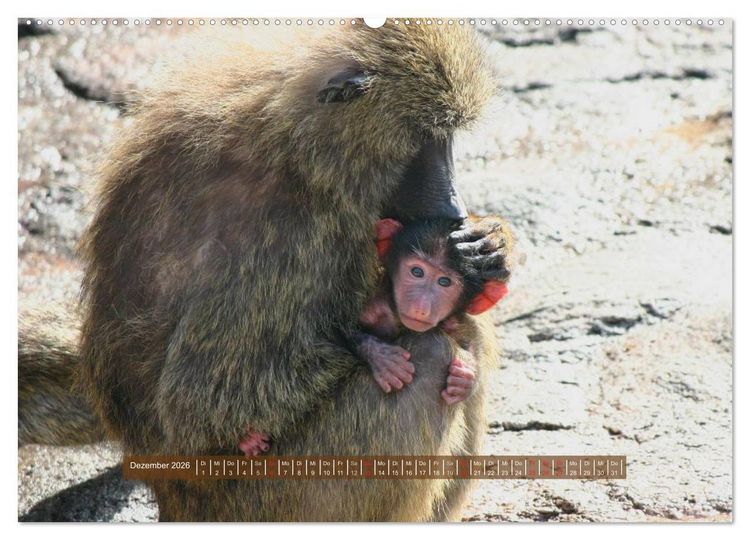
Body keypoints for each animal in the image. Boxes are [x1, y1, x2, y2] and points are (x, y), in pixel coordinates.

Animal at [19, 21, 514, 521]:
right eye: (428, 139)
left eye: (447, 137)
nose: (455, 210)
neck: (300, 147)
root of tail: (171, 497)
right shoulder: (279, 231)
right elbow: (206, 403)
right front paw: (374, 350)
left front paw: (489, 245)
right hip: (269, 497)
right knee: (431, 354)